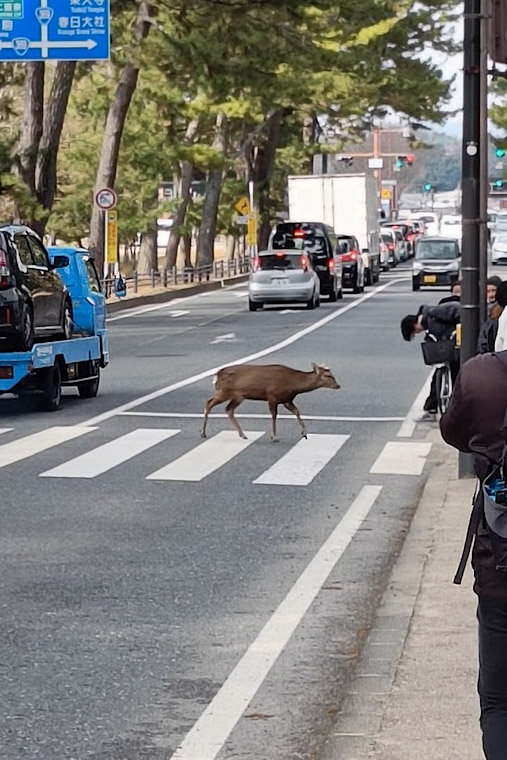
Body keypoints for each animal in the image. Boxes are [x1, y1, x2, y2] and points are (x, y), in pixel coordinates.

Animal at [200, 363, 340, 442]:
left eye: (332, 374)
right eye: (328, 376)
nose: (338, 385)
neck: (293, 385)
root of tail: (218, 374)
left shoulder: (287, 400)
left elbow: (297, 412)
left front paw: (305, 433)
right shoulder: (272, 395)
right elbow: (274, 416)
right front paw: (274, 437)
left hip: (238, 396)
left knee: (228, 409)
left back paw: (243, 434)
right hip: (224, 392)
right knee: (209, 403)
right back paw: (203, 432)